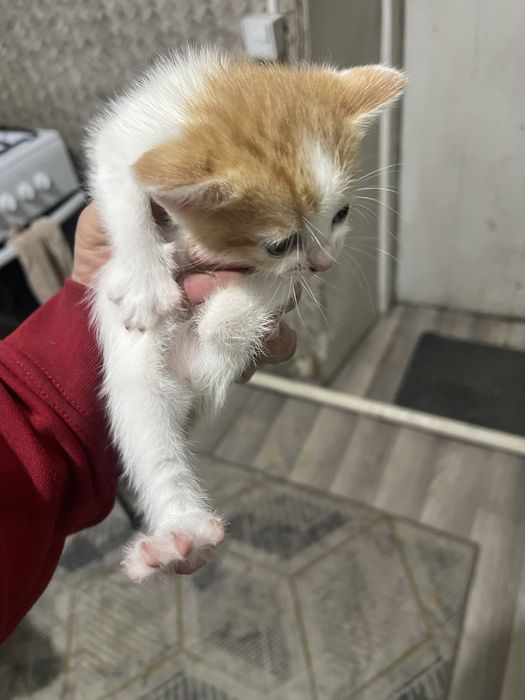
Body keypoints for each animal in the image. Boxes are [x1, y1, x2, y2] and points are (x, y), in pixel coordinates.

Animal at [86, 48, 405, 581]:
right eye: (278, 243)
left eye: (341, 215)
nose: (324, 263)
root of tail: (194, 385)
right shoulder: (128, 132)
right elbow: (121, 183)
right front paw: (145, 276)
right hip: (135, 379)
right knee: (153, 436)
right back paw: (178, 536)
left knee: (229, 326)